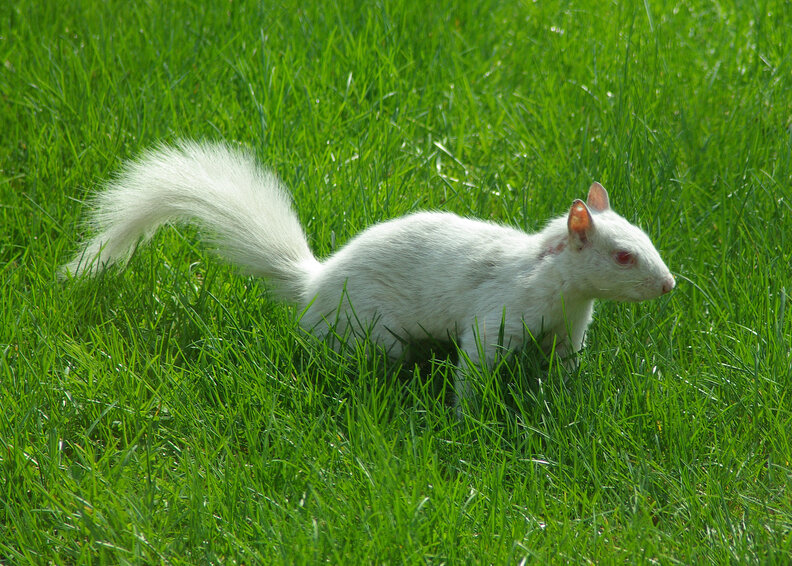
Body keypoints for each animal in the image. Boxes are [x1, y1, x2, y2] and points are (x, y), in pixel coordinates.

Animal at [64, 141, 675, 412]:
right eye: (623, 256)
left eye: (645, 238)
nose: (669, 286)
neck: (561, 288)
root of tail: (313, 286)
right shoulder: (498, 316)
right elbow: (476, 368)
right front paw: (465, 416)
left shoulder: (569, 332)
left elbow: (564, 368)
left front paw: (563, 400)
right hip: (371, 334)